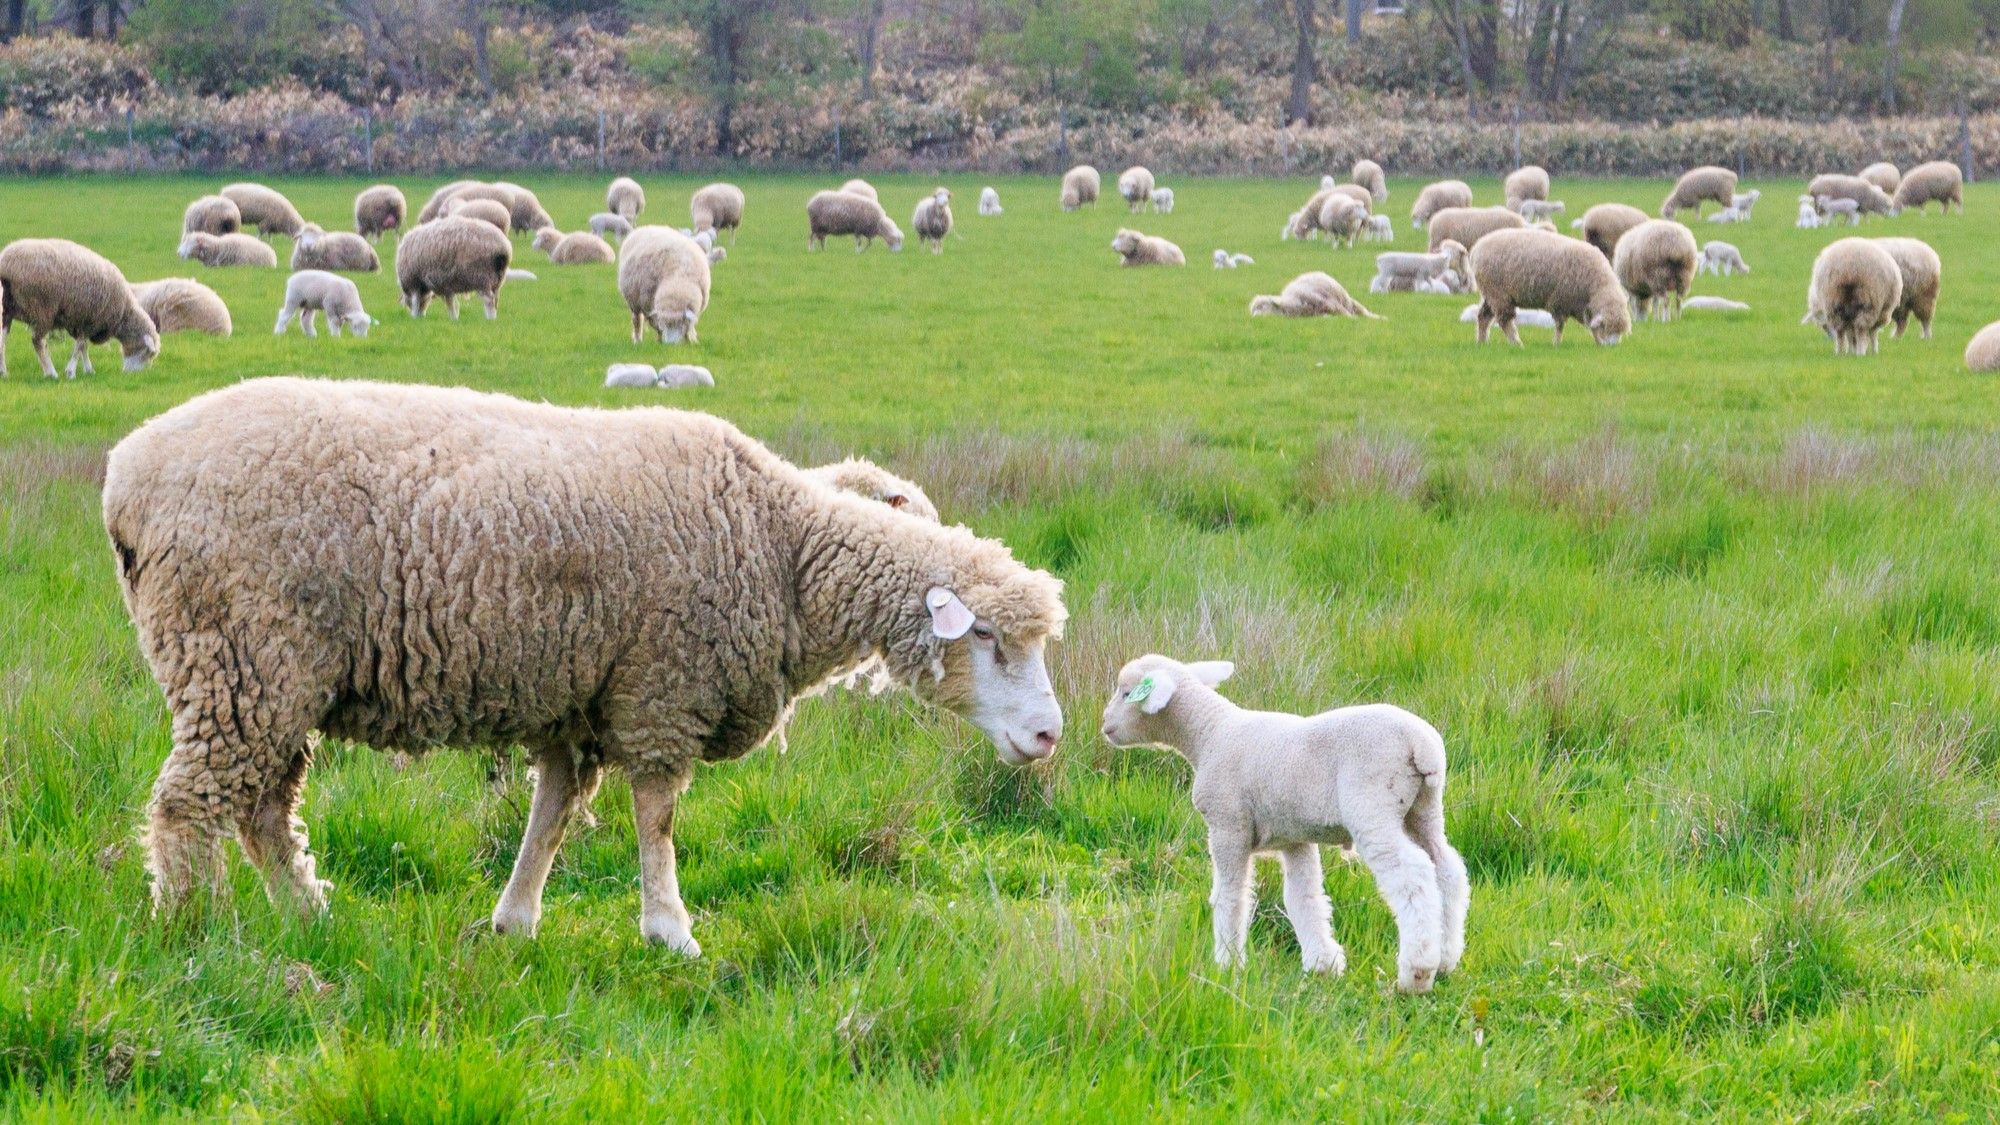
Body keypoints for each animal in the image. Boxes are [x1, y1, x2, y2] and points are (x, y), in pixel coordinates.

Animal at [0, 236, 160, 376]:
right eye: (148, 353)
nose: (132, 374)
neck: (123, 313)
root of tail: (6, 265)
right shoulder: (90, 321)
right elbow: (81, 345)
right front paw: (71, 372)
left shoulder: (80, 321)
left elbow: (83, 347)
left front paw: (88, 369)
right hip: (42, 308)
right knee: (38, 341)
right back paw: (51, 373)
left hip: (8, 308)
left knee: (3, 337)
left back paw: (4, 372)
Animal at [105, 376, 1080, 944]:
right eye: (987, 638)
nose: (1048, 735)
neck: (781, 547)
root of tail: (127, 474)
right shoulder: (662, 686)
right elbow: (657, 818)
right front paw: (669, 929)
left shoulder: (577, 700)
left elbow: (552, 815)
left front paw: (514, 918)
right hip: (240, 655)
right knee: (189, 805)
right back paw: (196, 927)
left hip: (271, 674)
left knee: (265, 810)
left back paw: (309, 916)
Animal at [1096, 656, 1472, 988]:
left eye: (1127, 692)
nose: (1105, 725)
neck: (1208, 734)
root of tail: (1421, 745)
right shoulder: (1294, 837)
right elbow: (1303, 897)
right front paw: (1322, 965)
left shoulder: (1227, 825)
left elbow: (1231, 896)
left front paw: (1228, 965)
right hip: (1423, 809)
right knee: (1447, 867)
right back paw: (1447, 958)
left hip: (1373, 807)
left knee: (1413, 874)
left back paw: (1417, 971)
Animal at [1248, 272, 1376, 318]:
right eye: (1254, 309)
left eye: (1263, 307)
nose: (1254, 316)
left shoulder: (1332, 304)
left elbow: (1346, 315)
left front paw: (1352, 319)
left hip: (1347, 300)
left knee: (1362, 310)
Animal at [1472, 228, 1624, 346]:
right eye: (1607, 328)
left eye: (1619, 332)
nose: (1612, 347)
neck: (1597, 285)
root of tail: (1477, 248)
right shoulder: (1560, 301)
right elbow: (1560, 325)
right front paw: (1556, 343)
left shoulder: (1582, 307)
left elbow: (1591, 326)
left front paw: (1598, 342)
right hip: (1498, 293)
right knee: (1504, 320)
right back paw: (1517, 343)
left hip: (1490, 293)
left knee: (1483, 316)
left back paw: (1482, 342)